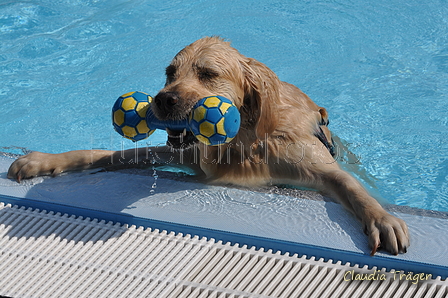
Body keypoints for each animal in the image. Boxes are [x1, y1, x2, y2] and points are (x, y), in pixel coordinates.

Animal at [9, 36, 410, 256]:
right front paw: (45, 160)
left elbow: (350, 187)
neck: (245, 142)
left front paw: (381, 218)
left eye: (207, 74)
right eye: (170, 73)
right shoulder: (183, 153)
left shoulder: (316, 166)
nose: (162, 100)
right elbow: (112, 155)